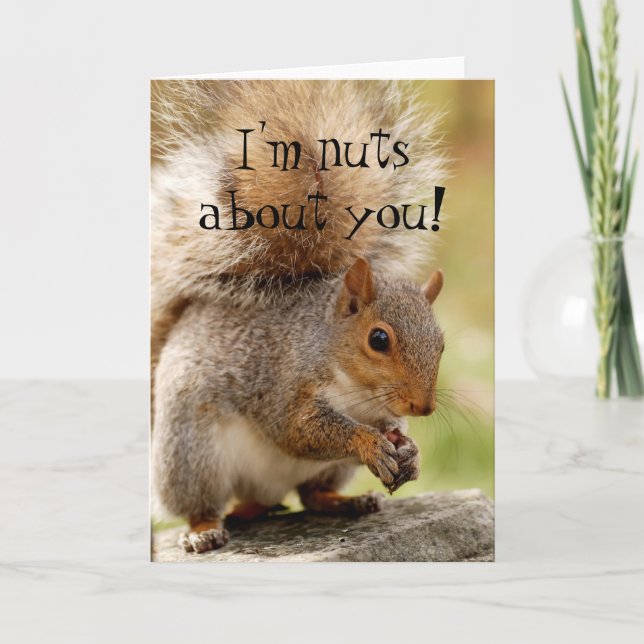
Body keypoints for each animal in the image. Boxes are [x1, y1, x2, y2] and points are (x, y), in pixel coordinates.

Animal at [150, 80, 447, 553]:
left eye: (441, 344)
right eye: (378, 339)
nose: (422, 407)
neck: (355, 390)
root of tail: (261, 494)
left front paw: (411, 450)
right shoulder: (283, 382)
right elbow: (297, 429)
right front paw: (365, 441)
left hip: (328, 469)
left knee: (310, 495)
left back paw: (346, 502)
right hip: (191, 453)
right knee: (201, 503)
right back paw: (204, 530)